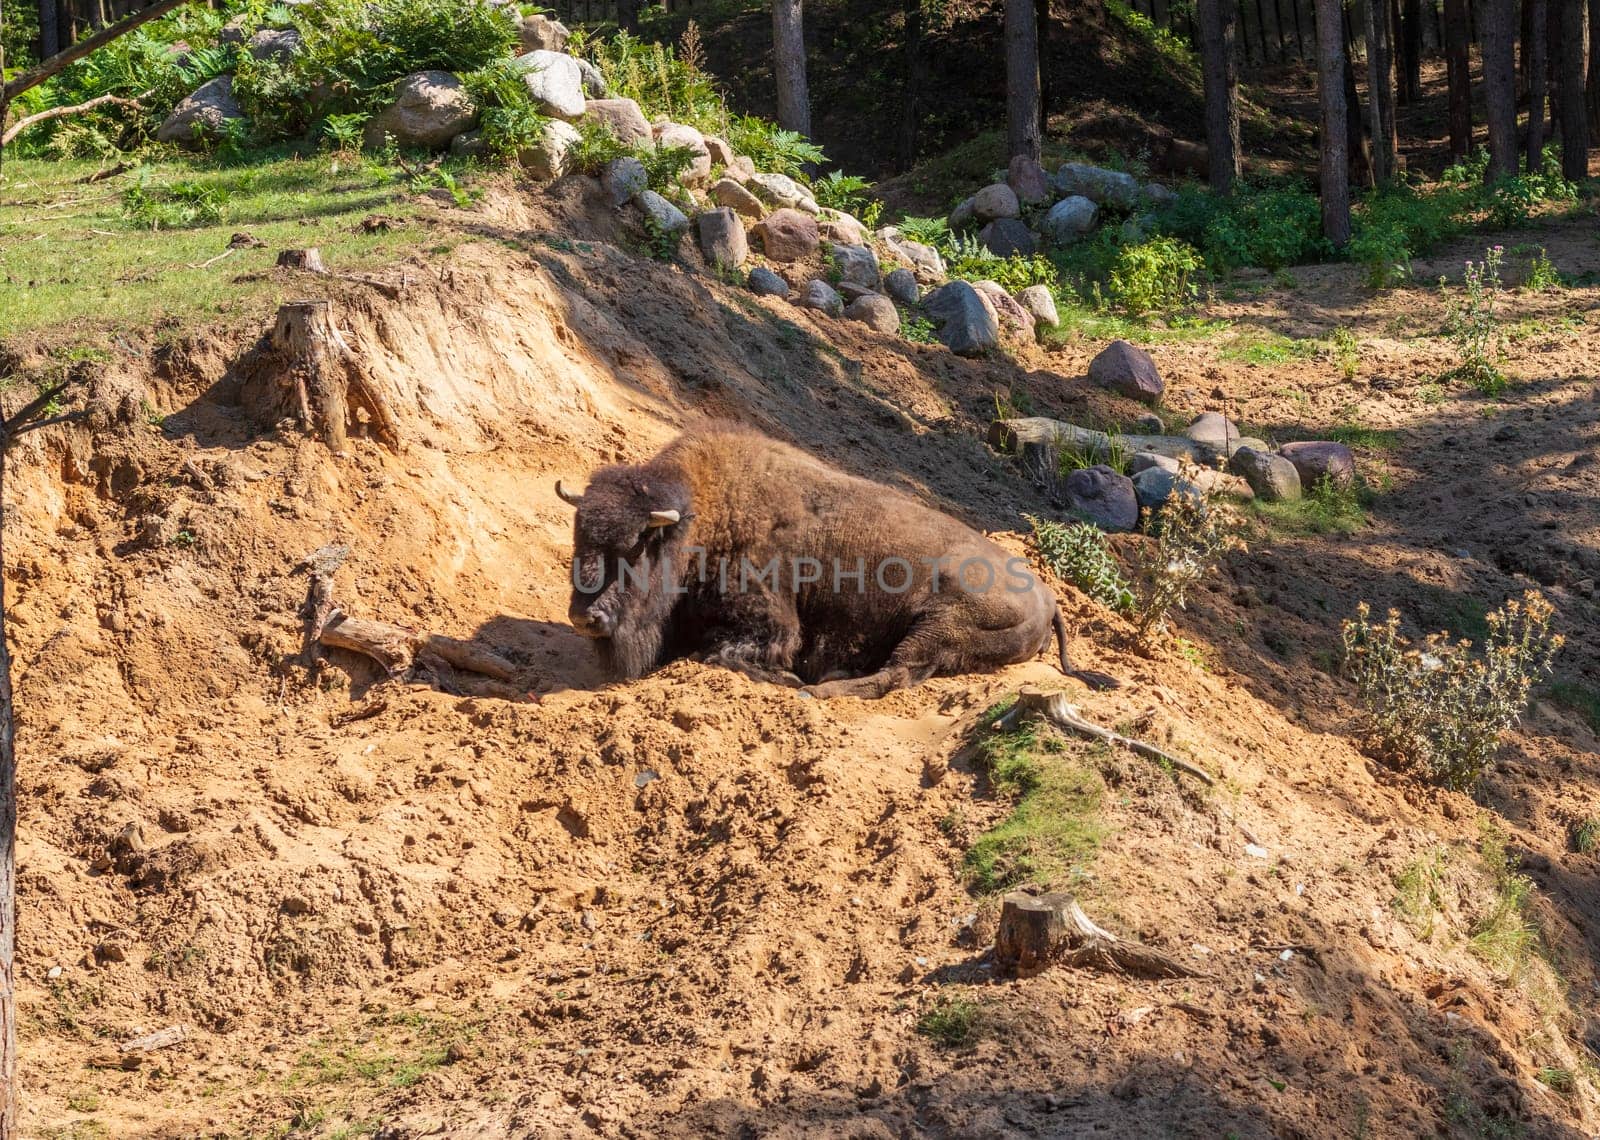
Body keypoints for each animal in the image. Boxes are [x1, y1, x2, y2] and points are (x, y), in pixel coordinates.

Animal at [560, 422, 1113, 698]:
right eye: (579, 539)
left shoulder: (772, 624)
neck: (706, 514)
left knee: (897, 675)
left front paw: (786, 679)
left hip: (940, 625)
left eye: (636, 547)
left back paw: (821, 689)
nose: (585, 617)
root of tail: (1049, 597)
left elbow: (723, 654)